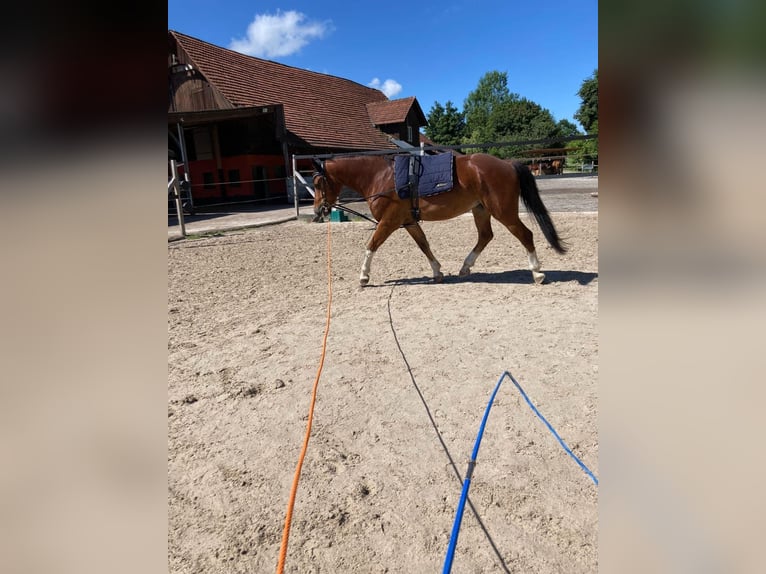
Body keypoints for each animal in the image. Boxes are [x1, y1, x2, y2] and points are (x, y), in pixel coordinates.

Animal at [312, 154, 568, 286]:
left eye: (316, 183)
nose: (317, 211)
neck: (381, 177)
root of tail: (507, 164)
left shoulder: (389, 221)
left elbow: (371, 245)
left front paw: (364, 276)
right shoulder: (409, 222)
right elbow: (424, 244)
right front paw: (437, 272)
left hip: (504, 212)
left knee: (525, 235)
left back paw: (537, 273)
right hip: (481, 210)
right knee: (485, 236)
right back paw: (465, 267)